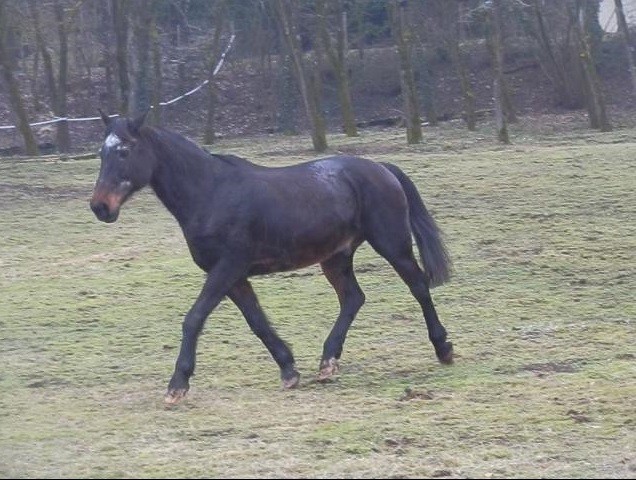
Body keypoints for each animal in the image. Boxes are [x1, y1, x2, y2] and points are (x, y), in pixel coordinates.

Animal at [92, 110, 454, 404]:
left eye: (124, 151)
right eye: (101, 153)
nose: (100, 207)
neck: (211, 194)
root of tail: (382, 168)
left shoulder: (227, 268)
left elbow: (194, 319)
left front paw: (177, 385)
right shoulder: (234, 277)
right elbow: (257, 322)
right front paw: (289, 369)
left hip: (392, 244)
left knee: (418, 286)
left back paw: (443, 348)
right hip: (335, 258)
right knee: (353, 298)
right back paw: (327, 362)